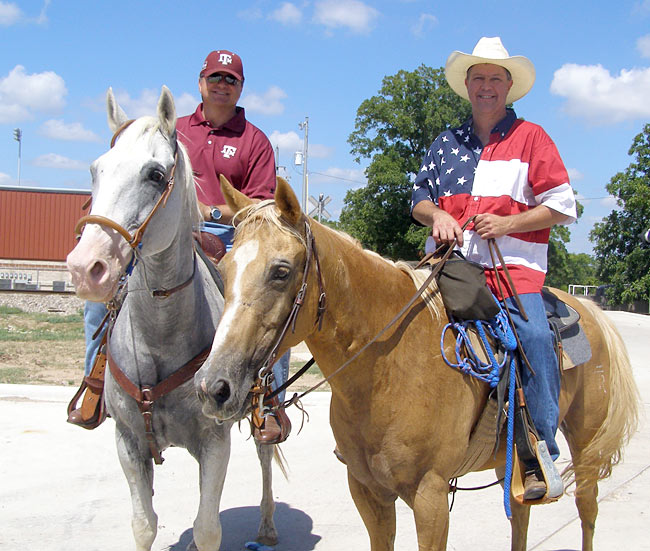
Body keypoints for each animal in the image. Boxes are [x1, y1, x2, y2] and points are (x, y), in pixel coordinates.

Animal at [66, 87, 278, 551]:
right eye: (95, 170)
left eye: (155, 174)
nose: (85, 267)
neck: (159, 336)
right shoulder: (128, 442)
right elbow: (144, 523)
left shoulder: (214, 441)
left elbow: (207, 527)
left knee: (266, 455)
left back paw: (268, 526)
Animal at [196, 179, 636, 548]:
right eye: (224, 268)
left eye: (281, 271)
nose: (213, 386)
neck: (386, 372)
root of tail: (589, 309)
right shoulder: (367, 491)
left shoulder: (431, 497)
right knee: (521, 514)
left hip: (586, 446)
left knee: (587, 510)